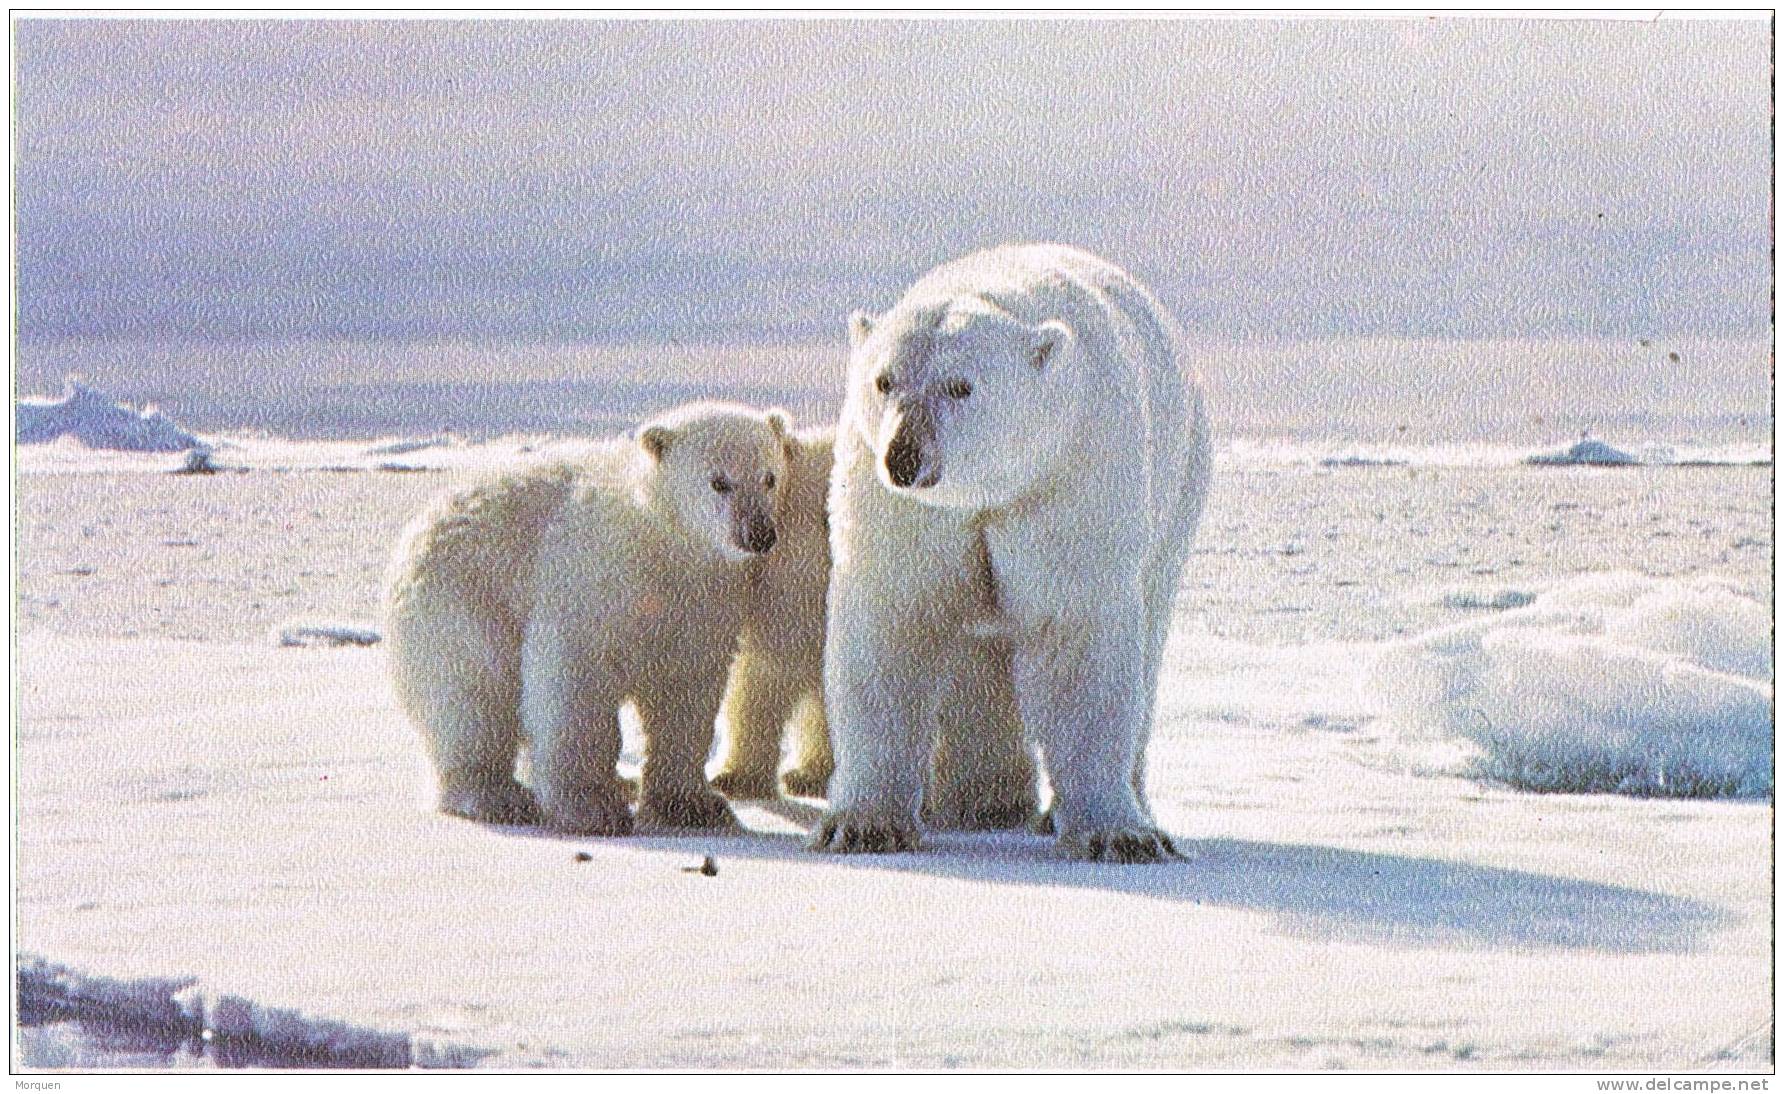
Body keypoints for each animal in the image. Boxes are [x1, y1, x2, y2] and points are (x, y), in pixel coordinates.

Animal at [813, 240, 1213, 860]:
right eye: (884, 381)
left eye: (960, 386)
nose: (904, 456)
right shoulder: (906, 512)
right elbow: (891, 625)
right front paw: (862, 824)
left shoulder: (1064, 478)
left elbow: (1076, 636)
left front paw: (1117, 833)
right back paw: (977, 803)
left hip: (1180, 484)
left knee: (1146, 641)